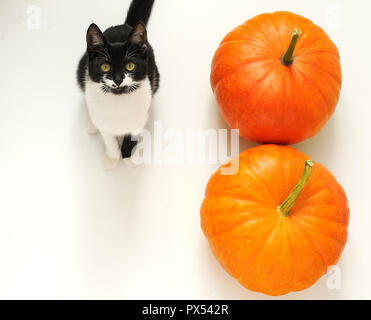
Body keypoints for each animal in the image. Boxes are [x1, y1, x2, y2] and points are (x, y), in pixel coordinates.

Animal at [77, 0, 160, 170]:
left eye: (130, 66)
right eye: (105, 67)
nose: (118, 79)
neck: (119, 102)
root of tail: (125, 25)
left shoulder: (140, 115)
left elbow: (133, 133)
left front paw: (129, 155)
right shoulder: (104, 122)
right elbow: (108, 139)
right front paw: (112, 157)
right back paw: (92, 124)